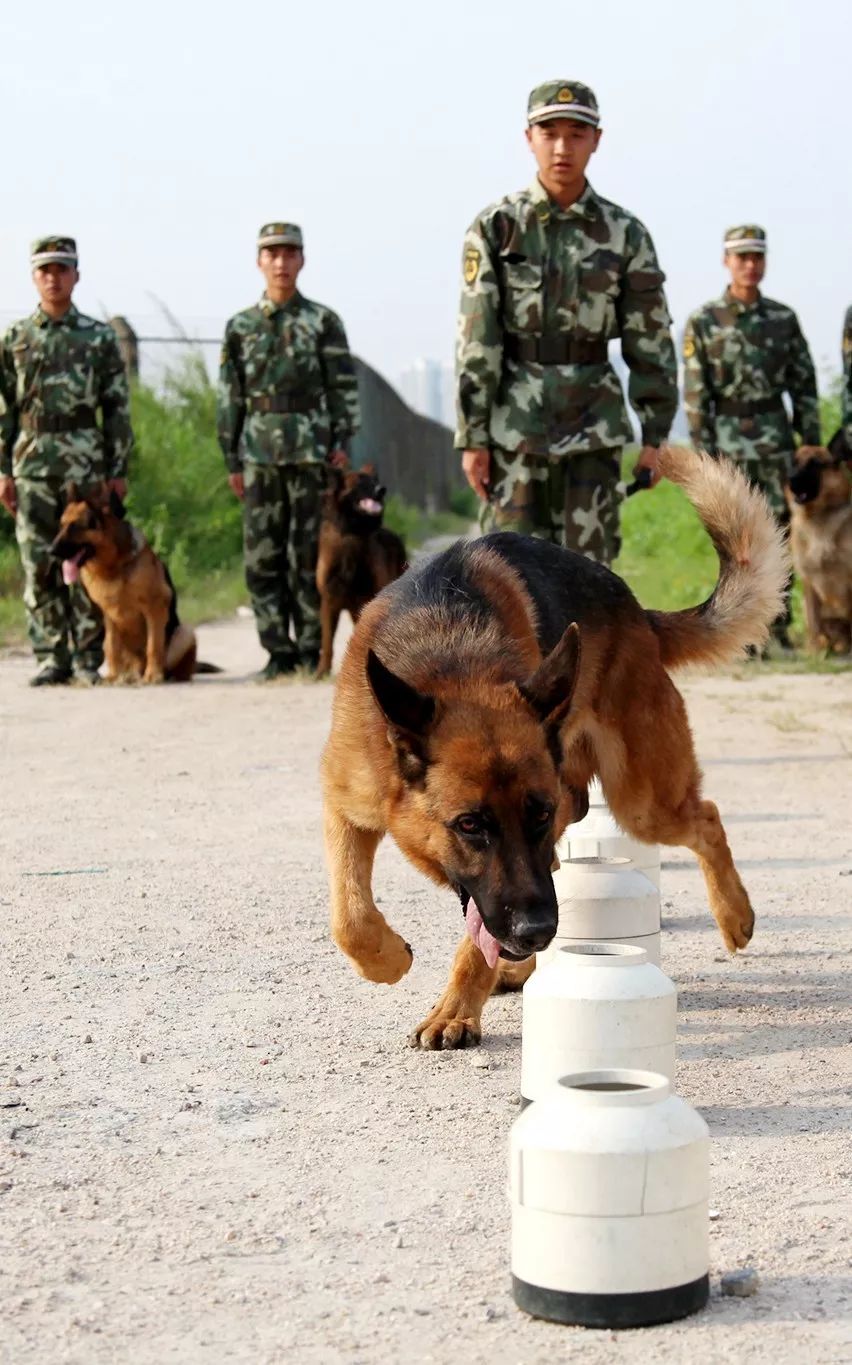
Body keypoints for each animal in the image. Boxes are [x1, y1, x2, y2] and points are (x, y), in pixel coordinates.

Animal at [53, 488, 204, 682]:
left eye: (74, 526)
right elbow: (112, 647)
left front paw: (153, 675)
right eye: (61, 526)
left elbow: (153, 645)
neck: (114, 566)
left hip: (185, 632)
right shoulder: (109, 616)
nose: (50, 550)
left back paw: (164, 675)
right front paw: (113, 676)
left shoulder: (155, 609)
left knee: (178, 666)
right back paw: (126, 675)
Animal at [316, 464, 406, 677]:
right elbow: (327, 642)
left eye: (374, 482)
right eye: (359, 482)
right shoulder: (329, 601)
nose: (381, 490)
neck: (353, 534)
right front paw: (322, 671)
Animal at [786, 434, 852, 652]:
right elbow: (813, 622)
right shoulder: (808, 580)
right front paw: (814, 651)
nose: (790, 479)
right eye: (794, 463)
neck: (817, 517)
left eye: (815, 464)